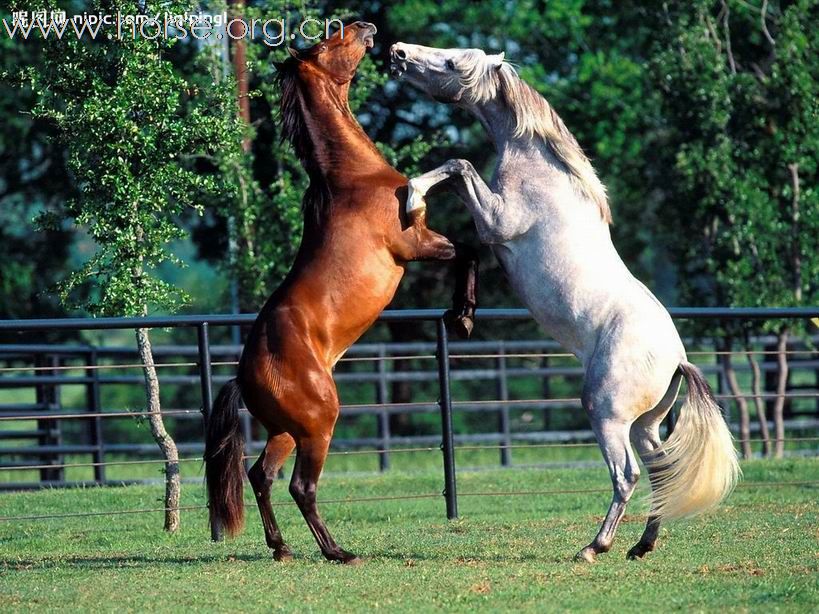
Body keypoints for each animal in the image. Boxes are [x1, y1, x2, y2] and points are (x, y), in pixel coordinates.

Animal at [203, 22, 480, 568]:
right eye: (327, 43)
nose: (364, 26)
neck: (353, 177)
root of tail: (243, 375)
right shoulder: (414, 244)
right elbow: (470, 247)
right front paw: (461, 314)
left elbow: (468, 250)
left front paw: (461, 314)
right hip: (319, 425)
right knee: (300, 486)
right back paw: (338, 551)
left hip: (286, 431)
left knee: (260, 476)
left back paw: (282, 548)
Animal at [390, 42, 744, 564]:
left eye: (453, 62)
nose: (397, 53)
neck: (542, 169)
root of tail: (677, 358)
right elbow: (457, 178)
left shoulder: (497, 220)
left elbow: (458, 166)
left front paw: (412, 195)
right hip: (645, 424)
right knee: (661, 470)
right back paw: (641, 546)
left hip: (606, 413)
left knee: (628, 475)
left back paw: (595, 547)